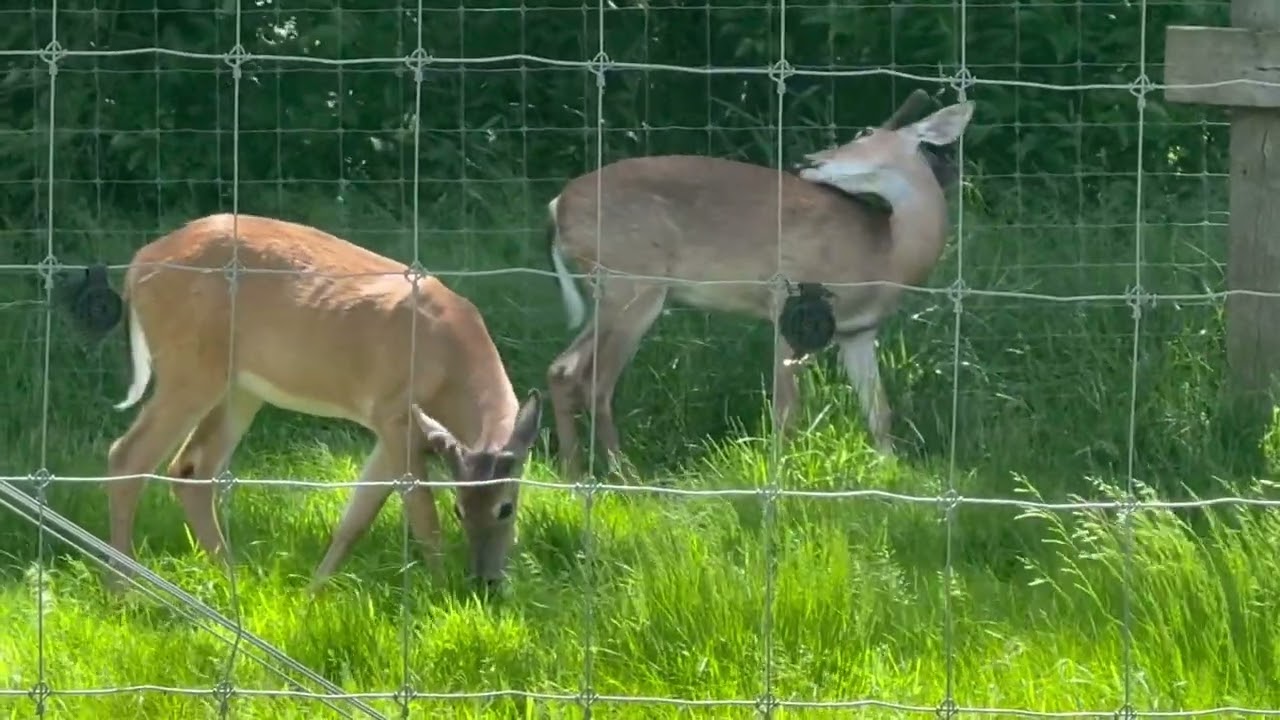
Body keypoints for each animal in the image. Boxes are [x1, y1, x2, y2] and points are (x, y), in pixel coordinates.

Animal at [59, 212, 543, 593]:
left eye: (506, 506)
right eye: (461, 509)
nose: (486, 582)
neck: (450, 362)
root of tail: (138, 264)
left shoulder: (390, 428)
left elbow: (357, 516)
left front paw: (314, 593)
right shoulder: (393, 414)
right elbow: (423, 516)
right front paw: (439, 594)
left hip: (240, 388)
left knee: (191, 468)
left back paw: (232, 580)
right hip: (190, 370)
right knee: (128, 456)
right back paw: (122, 589)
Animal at [541, 91, 974, 479]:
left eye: (866, 133)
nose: (806, 160)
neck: (886, 253)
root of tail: (557, 206)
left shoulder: (858, 332)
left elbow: (879, 411)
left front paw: (890, 472)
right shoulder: (788, 297)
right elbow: (786, 408)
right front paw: (779, 474)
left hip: (613, 291)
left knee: (563, 369)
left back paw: (572, 471)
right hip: (633, 281)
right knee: (596, 382)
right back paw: (625, 475)